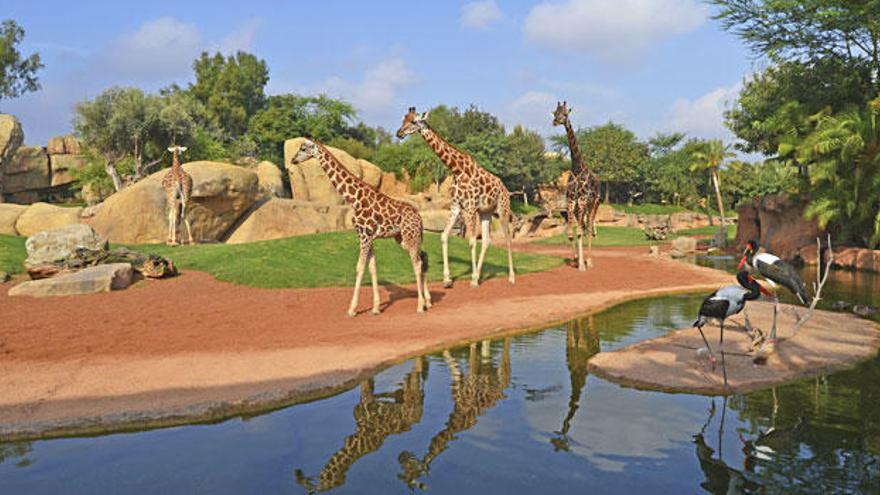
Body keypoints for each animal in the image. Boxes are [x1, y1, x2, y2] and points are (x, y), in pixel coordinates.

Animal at [290, 139, 432, 318]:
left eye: (303, 148)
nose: (293, 160)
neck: (354, 199)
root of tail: (419, 217)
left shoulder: (364, 235)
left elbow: (359, 267)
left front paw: (352, 309)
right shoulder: (368, 236)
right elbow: (372, 268)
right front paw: (376, 308)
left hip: (409, 236)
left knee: (417, 263)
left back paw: (420, 306)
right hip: (403, 238)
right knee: (423, 257)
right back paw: (428, 301)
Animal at [296, 358, 426, 494]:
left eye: (325, 479)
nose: (299, 475)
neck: (356, 441)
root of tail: (419, 413)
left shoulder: (366, 400)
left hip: (411, 398)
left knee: (416, 376)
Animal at [394, 106, 512, 288]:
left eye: (413, 121)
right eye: (403, 119)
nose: (399, 133)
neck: (457, 170)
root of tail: (506, 189)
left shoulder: (469, 207)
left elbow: (471, 241)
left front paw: (472, 280)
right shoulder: (456, 206)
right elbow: (444, 236)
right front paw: (448, 280)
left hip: (503, 209)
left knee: (507, 238)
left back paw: (511, 277)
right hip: (486, 212)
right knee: (486, 240)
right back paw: (479, 274)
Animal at [552, 101, 600, 272]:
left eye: (565, 114)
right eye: (555, 113)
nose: (555, 122)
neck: (577, 168)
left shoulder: (583, 201)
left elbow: (580, 231)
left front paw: (582, 265)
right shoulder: (572, 202)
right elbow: (572, 232)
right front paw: (575, 259)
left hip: (593, 204)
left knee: (589, 228)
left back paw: (590, 260)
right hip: (581, 207)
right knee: (582, 227)